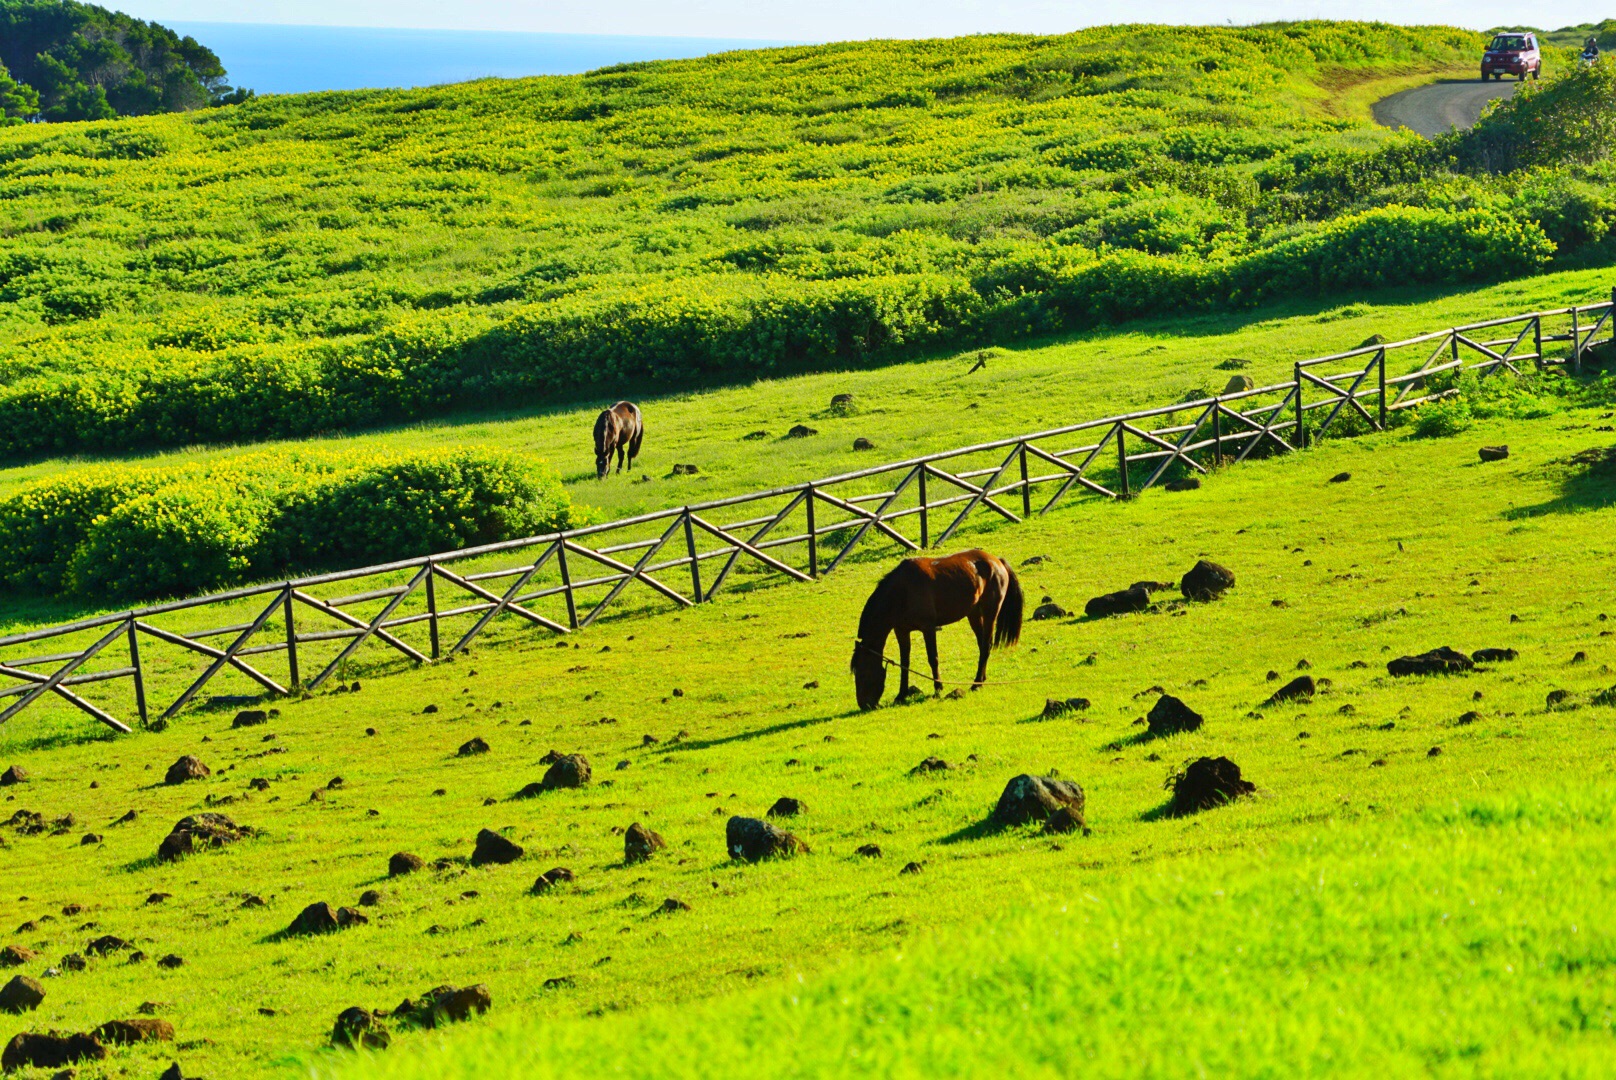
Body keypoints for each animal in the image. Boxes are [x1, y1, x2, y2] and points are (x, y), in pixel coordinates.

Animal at [846, 549, 1021, 708]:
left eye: (863, 673)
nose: (864, 704)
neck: (903, 591)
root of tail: (997, 561)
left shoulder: (928, 628)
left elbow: (933, 658)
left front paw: (938, 689)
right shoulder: (901, 631)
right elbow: (905, 662)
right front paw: (901, 695)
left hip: (990, 613)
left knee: (985, 646)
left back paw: (976, 684)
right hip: (974, 614)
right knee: (982, 645)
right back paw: (981, 679)